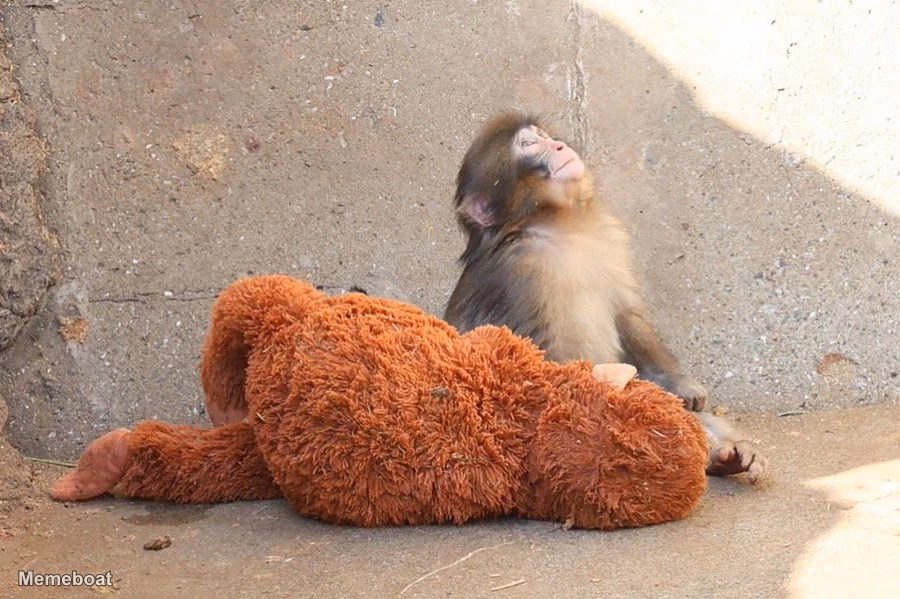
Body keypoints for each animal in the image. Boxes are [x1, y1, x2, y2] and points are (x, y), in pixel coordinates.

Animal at [444, 113, 769, 483]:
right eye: (528, 145)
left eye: (542, 136)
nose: (560, 146)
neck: (558, 227)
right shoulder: (519, 277)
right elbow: (538, 363)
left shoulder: (607, 238)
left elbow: (628, 316)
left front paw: (681, 385)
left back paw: (724, 455)